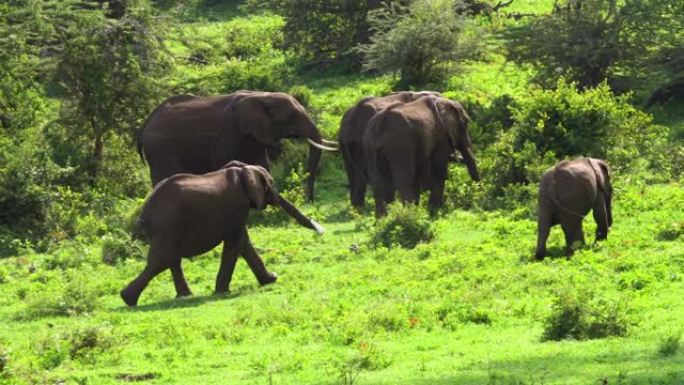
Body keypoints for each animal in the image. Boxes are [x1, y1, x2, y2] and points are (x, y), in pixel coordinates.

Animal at [137, 90, 340, 201]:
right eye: (292, 117)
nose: (310, 200)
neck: (261, 95)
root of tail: (145, 124)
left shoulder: (253, 135)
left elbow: (262, 164)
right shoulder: (229, 132)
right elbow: (223, 160)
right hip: (161, 148)